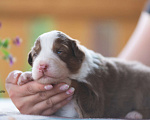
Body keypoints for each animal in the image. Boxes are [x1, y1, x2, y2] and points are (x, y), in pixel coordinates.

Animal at [17, 30, 150, 118]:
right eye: (35, 54)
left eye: (60, 51)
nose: (42, 66)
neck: (76, 71)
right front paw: (26, 75)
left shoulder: (96, 98)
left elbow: (85, 94)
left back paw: (134, 115)